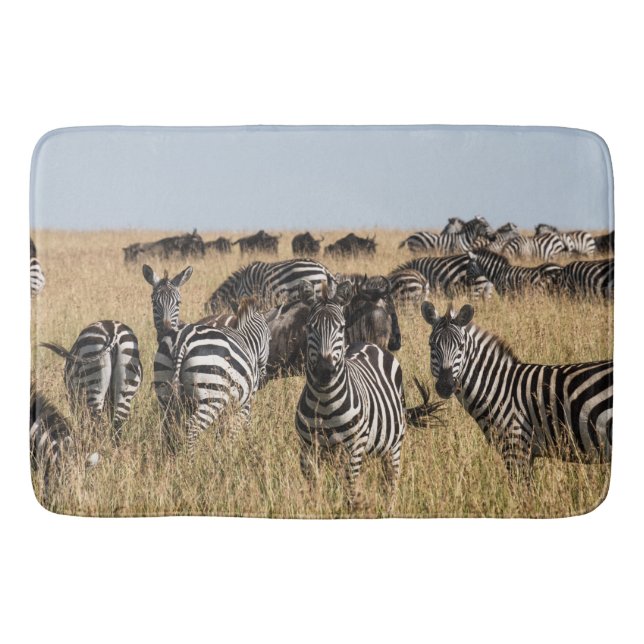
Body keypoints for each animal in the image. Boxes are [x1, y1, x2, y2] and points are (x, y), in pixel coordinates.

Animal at [153, 297, 270, 455]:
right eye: (269, 339)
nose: (263, 377)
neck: (246, 340)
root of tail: (182, 339)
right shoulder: (245, 403)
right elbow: (235, 430)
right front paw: (228, 453)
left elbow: (221, 432)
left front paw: (220, 452)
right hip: (212, 396)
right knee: (192, 428)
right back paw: (190, 460)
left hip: (165, 392)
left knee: (169, 429)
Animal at [421, 302, 613, 480]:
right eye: (431, 345)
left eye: (461, 346)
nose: (445, 386)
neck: (498, 387)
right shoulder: (525, 452)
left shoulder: (516, 447)